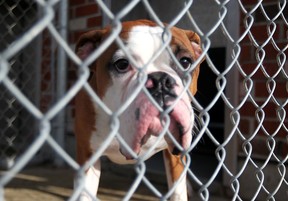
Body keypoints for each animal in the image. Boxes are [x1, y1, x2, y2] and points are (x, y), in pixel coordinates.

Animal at [75, 19, 202, 201]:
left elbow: (178, 191)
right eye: (122, 64)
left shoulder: (174, 157)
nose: (160, 81)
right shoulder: (88, 157)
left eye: (185, 62)